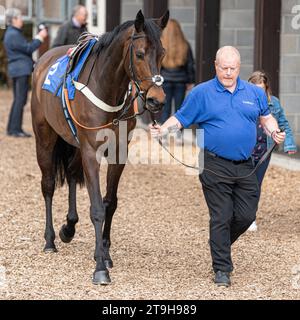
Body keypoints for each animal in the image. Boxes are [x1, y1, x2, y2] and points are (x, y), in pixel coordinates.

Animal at [31, 10, 170, 284]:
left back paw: (69, 227)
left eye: (162, 54)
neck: (107, 90)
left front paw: (104, 252)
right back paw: (50, 240)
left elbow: (109, 203)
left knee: (72, 174)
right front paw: (99, 268)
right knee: (48, 185)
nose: (156, 100)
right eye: (140, 54)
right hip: (44, 138)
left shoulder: (118, 153)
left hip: (73, 144)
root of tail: (43, 60)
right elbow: (96, 207)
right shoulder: (90, 152)